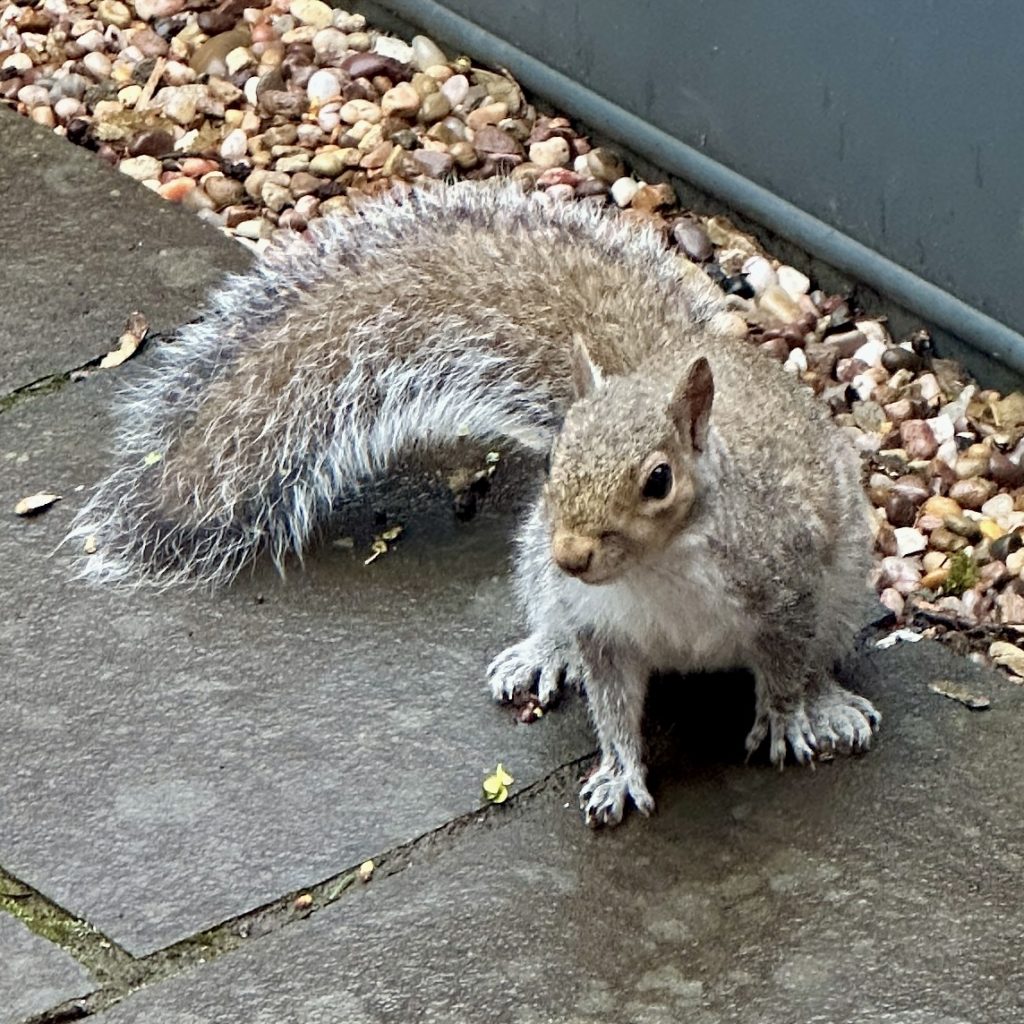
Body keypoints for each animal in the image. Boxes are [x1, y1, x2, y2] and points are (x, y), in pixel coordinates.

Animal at [70, 182, 880, 823]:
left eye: (659, 480)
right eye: (555, 457)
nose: (571, 553)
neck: (657, 574)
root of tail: (660, 360)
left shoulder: (785, 583)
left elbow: (784, 665)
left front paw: (786, 717)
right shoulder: (602, 627)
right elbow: (613, 705)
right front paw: (618, 771)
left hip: (844, 588)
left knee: (822, 653)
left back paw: (832, 705)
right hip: (538, 568)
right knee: (553, 622)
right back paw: (541, 653)